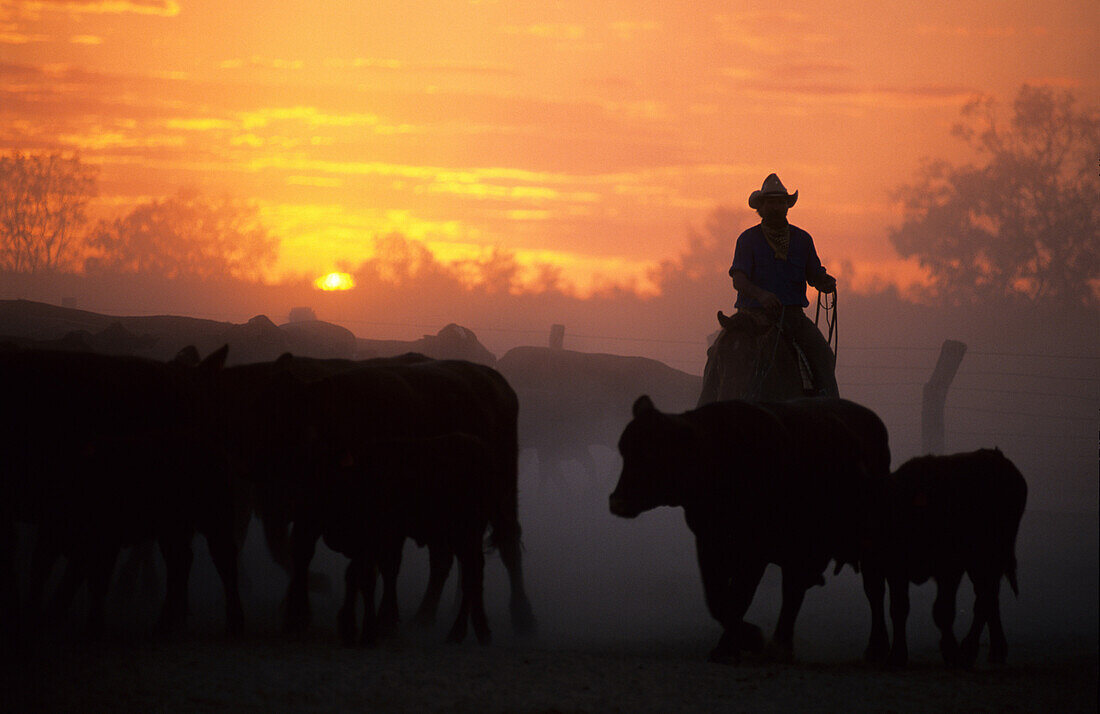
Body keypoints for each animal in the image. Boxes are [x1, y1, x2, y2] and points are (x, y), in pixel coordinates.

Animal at [611, 391, 893, 660]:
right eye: (624, 450)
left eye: (653, 453)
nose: (617, 502)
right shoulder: (708, 541)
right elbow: (717, 598)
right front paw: (734, 643)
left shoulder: (756, 549)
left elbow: (739, 595)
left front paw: (742, 641)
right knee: (793, 590)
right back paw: (781, 646)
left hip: (870, 544)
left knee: (873, 589)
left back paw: (877, 648)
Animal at [862, 448, 1025, 664]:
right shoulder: (892, 569)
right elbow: (896, 607)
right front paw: (894, 653)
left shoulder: (950, 568)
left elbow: (942, 610)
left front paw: (951, 651)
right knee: (988, 597)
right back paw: (993, 650)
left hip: (990, 558)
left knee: (986, 597)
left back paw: (972, 648)